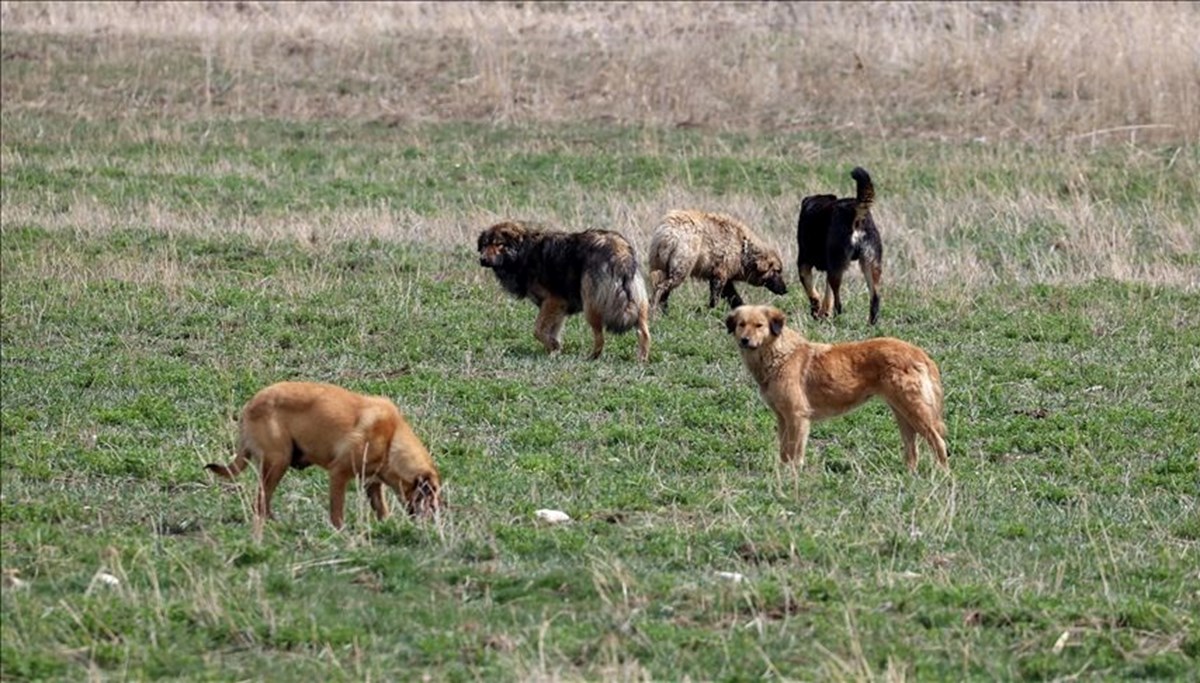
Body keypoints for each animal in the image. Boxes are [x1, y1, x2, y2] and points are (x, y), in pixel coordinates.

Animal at [205, 381, 441, 530]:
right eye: (431, 495)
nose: (437, 518)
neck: (392, 439)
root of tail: (249, 406)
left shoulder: (372, 483)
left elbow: (381, 510)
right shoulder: (339, 474)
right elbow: (337, 511)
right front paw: (340, 532)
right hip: (278, 462)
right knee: (260, 502)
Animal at [475, 222, 652, 362]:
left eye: (499, 244)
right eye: (484, 245)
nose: (482, 260)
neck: (524, 252)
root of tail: (620, 251)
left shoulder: (553, 301)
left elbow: (538, 330)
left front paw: (554, 347)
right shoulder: (557, 308)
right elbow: (550, 332)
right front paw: (554, 351)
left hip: (591, 306)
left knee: (600, 338)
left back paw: (592, 357)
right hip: (638, 305)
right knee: (643, 333)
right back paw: (641, 359)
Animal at [652, 208, 792, 312]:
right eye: (777, 271)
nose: (785, 290)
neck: (743, 249)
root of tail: (667, 232)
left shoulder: (725, 275)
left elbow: (734, 297)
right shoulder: (720, 274)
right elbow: (716, 297)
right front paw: (711, 311)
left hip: (661, 266)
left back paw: (664, 312)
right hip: (681, 268)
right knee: (661, 287)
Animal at [720, 303, 945, 468]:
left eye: (759, 325)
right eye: (741, 324)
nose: (744, 340)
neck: (779, 354)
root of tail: (919, 353)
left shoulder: (797, 416)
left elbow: (795, 455)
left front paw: (793, 479)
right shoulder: (782, 417)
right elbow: (784, 453)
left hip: (915, 411)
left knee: (939, 442)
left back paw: (942, 476)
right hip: (902, 413)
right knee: (912, 451)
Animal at [796, 166, 883, 324]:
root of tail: (856, 211)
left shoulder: (803, 262)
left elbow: (812, 291)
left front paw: (816, 311)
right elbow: (827, 295)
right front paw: (823, 313)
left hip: (836, 266)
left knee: (838, 301)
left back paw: (838, 318)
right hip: (871, 265)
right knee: (875, 298)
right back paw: (870, 324)